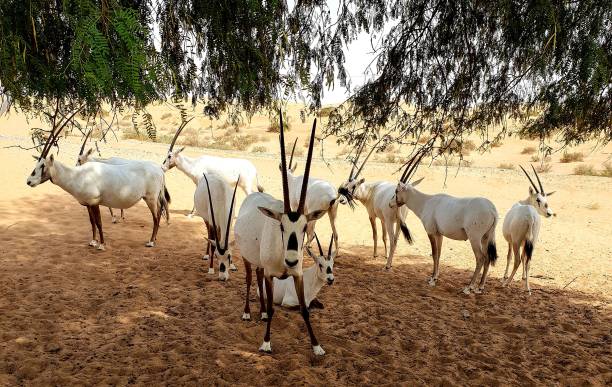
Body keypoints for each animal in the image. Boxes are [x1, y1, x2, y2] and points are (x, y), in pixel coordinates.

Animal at [26, 129, 170, 250]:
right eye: (37, 164)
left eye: (43, 165)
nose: (29, 181)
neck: (78, 175)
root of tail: (159, 170)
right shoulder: (88, 204)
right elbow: (92, 222)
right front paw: (93, 241)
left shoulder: (95, 202)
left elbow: (99, 222)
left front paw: (101, 245)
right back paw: (154, 239)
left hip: (150, 198)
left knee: (156, 216)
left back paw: (151, 242)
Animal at [235, 110, 330, 356]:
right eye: (281, 226)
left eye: (304, 227)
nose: (291, 259)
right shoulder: (271, 275)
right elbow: (272, 305)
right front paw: (266, 343)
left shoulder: (297, 275)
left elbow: (305, 310)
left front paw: (317, 346)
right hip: (247, 257)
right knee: (250, 278)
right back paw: (247, 312)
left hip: (260, 263)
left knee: (257, 277)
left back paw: (261, 313)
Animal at [338, 139, 414, 270]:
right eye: (346, 185)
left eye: (354, 186)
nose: (342, 200)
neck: (371, 191)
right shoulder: (382, 219)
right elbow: (384, 236)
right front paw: (385, 254)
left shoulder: (372, 216)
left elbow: (375, 234)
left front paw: (375, 254)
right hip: (399, 222)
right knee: (396, 240)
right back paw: (389, 260)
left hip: (390, 222)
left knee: (393, 240)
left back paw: (388, 265)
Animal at [392, 152, 498, 294]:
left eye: (396, 191)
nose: (391, 203)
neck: (425, 202)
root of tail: (492, 209)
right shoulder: (439, 234)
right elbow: (439, 254)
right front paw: (435, 277)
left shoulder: (431, 232)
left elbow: (434, 253)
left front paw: (432, 280)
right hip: (486, 237)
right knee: (487, 258)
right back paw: (480, 287)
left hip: (474, 237)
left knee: (481, 258)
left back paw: (468, 287)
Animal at [502, 164, 556, 294]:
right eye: (538, 199)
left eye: (546, 200)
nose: (549, 213)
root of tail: (531, 216)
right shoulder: (525, 243)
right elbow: (524, 257)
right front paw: (523, 277)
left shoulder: (511, 241)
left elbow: (509, 256)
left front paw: (505, 275)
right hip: (533, 241)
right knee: (528, 261)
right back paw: (527, 288)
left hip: (516, 242)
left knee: (517, 260)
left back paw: (507, 283)